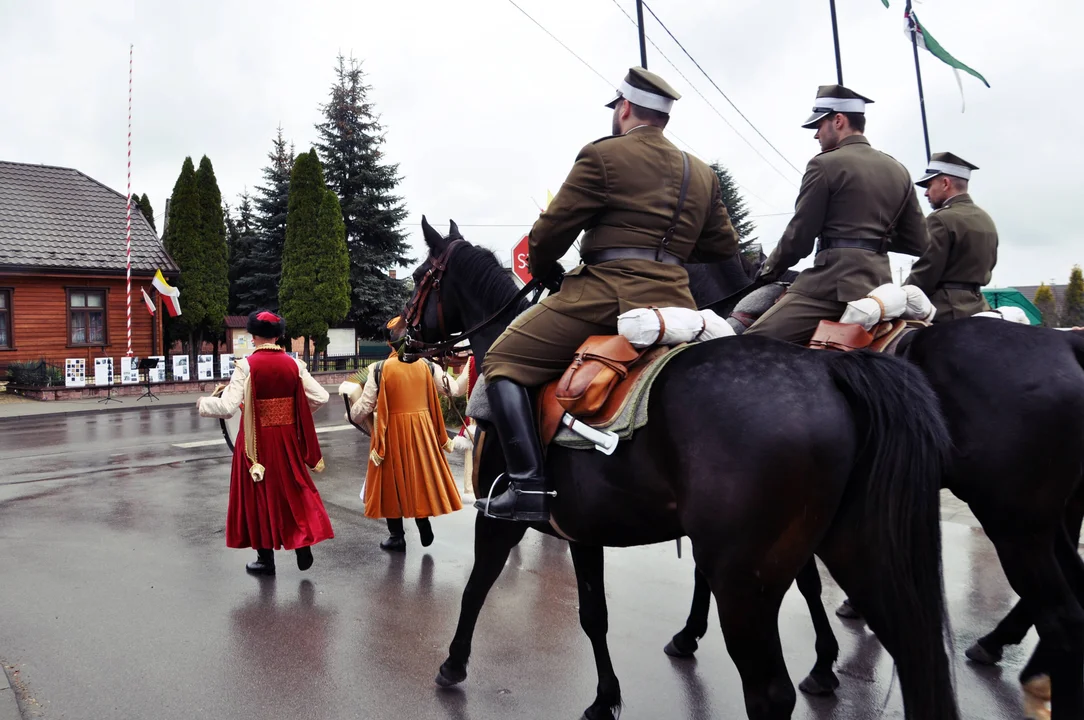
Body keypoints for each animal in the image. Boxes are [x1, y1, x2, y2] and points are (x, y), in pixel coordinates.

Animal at [398, 225, 958, 720]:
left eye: (421, 275)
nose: (398, 334)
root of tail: (830, 371)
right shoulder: (582, 532)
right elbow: (593, 615)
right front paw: (605, 699)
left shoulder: (498, 518)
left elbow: (477, 587)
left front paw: (452, 663)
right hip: (858, 551)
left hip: (745, 583)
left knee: (770, 691)